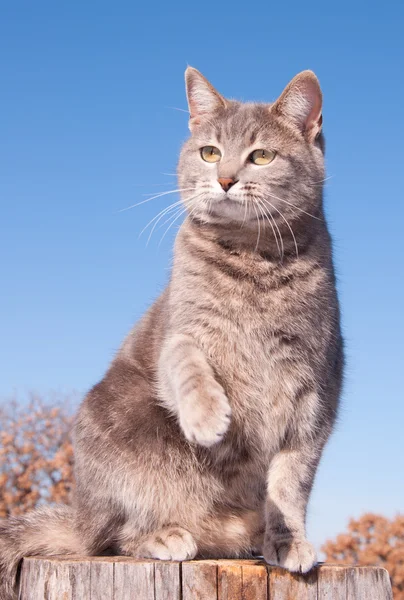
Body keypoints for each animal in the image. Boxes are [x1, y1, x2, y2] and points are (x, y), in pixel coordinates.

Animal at [0, 68, 342, 596]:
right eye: (210, 152)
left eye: (261, 156)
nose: (225, 179)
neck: (253, 261)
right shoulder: (181, 330)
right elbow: (186, 361)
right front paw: (208, 418)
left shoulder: (316, 391)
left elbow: (290, 482)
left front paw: (289, 542)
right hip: (114, 445)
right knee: (112, 536)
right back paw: (164, 534)